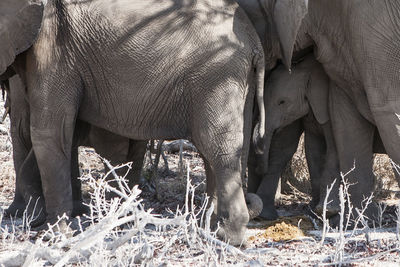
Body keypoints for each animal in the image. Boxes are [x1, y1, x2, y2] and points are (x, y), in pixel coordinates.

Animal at [2, 0, 268, 245]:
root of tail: (254, 42)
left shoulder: (54, 50)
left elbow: (49, 135)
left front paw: (54, 237)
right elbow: (67, 132)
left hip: (217, 76)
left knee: (218, 148)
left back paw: (228, 237)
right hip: (235, 80)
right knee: (227, 148)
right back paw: (210, 227)